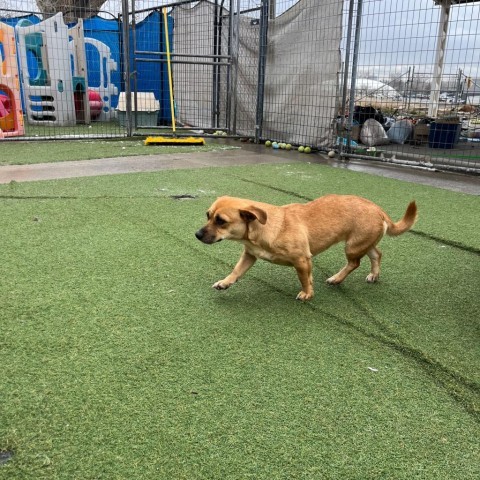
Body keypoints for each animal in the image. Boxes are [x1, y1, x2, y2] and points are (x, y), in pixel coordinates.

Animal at [195, 195, 416, 300]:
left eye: (221, 221)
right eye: (207, 215)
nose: (197, 234)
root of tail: (378, 209)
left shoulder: (301, 260)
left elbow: (303, 278)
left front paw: (307, 294)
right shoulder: (249, 255)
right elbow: (236, 271)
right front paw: (225, 283)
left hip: (352, 246)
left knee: (355, 263)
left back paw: (337, 278)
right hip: (362, 242)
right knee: (376, 254)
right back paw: (373, 275)